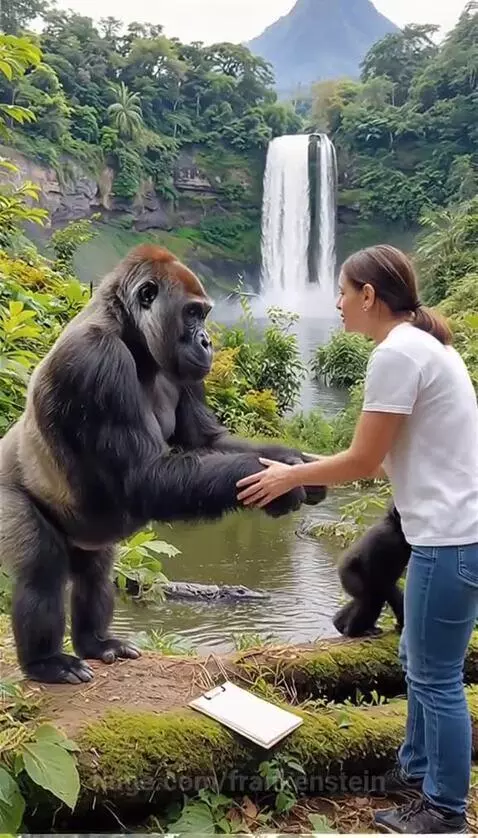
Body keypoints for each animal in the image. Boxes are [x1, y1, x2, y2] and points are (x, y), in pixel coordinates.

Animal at [0, 244, 327, 686]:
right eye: (192, 313)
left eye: (204, 314)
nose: (207, 341)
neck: (129, 332)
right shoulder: (96, 359)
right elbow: (145, 478)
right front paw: (272, 481)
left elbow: (206, 442)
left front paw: (293, 463)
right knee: (42, 570)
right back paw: (45, 662)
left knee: (94, 572)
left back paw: (95, 642)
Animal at [332, 503, 411, 638]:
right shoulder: (385, 540)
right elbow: (383, 580)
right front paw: (403, 624)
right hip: (348, 574)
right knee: (367, 598)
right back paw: (354, 631)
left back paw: (339, 622)